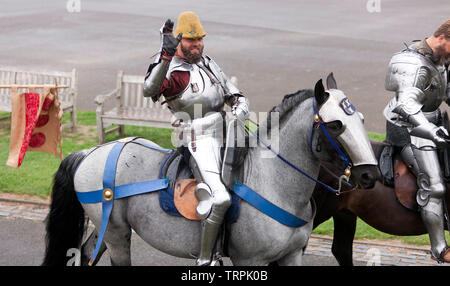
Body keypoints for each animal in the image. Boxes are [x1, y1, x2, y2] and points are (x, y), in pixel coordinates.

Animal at [43, 76, 380, 266]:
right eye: (335, 125)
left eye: (361, 119)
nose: (369, 175)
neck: (273, 182)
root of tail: (90, 153)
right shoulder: (251, 260)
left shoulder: (291, 256)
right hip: (116, 234)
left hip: (105, 229)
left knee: (85, 253)